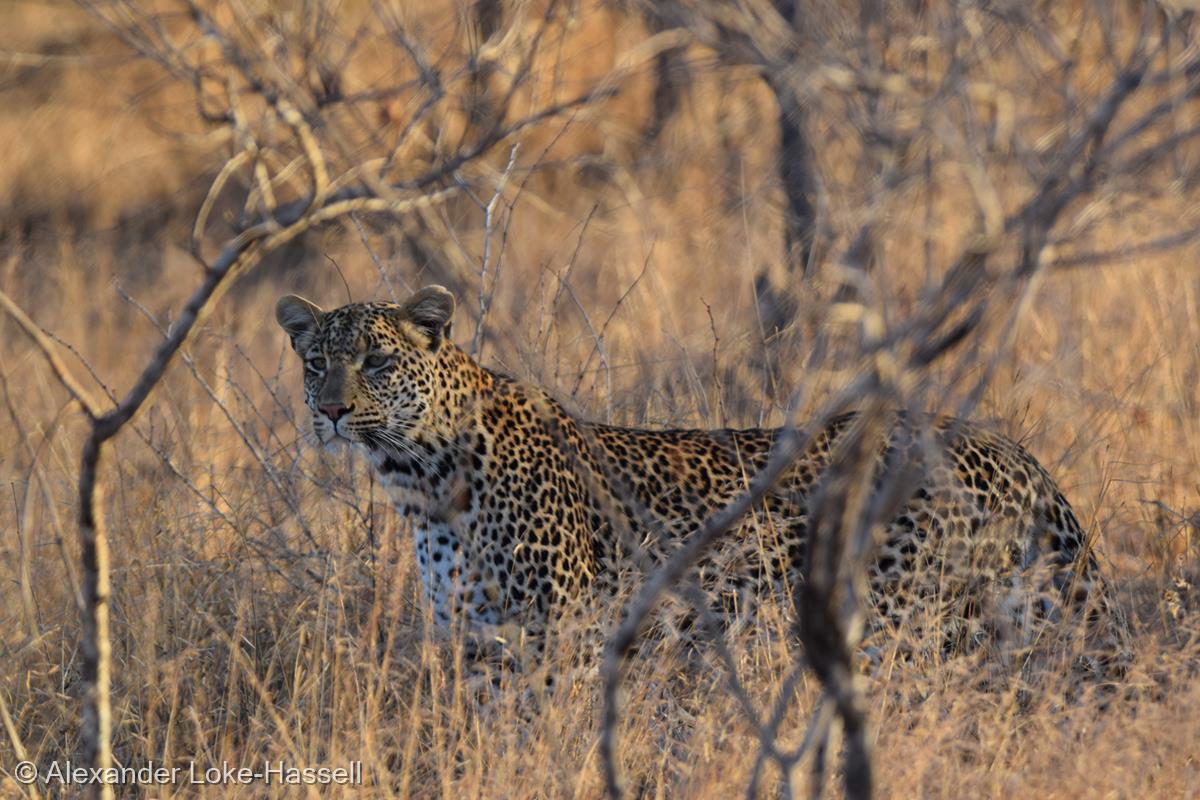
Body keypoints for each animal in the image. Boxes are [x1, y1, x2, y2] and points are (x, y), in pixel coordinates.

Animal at [276, 286, 1118, 671]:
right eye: (314, 362)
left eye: (377, 361)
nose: (330, 410)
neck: (420, 477)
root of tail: (1007, 447)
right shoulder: (478, 642)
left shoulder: (554, 639)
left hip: (909, 625)